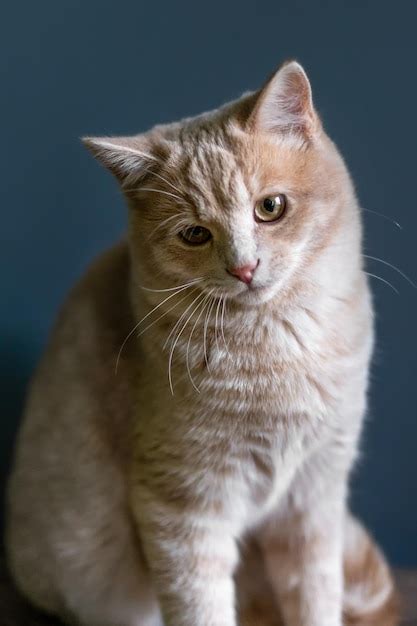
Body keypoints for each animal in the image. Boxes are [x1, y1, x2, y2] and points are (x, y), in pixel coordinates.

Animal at [5, 59, 396, 624]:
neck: (275, 349)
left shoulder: (315, 494)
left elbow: (316, 595)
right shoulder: (183, 507)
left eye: (270, 207)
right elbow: (202, 605)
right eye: (194, 234)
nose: (244, 267)